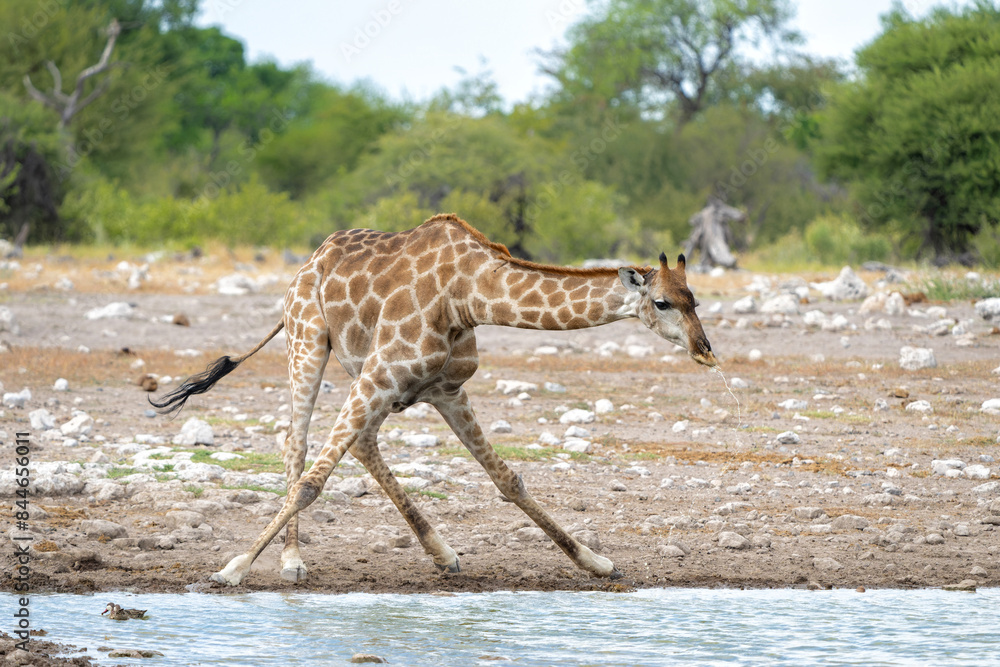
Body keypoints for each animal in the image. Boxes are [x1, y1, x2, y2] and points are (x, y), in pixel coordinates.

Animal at [150, 214, 720, 584]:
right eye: (662, 302)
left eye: (695, 300)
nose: (705, 351)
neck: (467, 294)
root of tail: (306, 265)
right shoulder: (382, 375)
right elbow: (313, 480)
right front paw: (232, 568)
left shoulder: (447, 389)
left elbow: (507, 478)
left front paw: (596, 562)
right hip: (309, 342)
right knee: (298, 442)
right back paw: (292, 562)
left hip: (361, 374)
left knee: (362, 444)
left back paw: (443, 555)